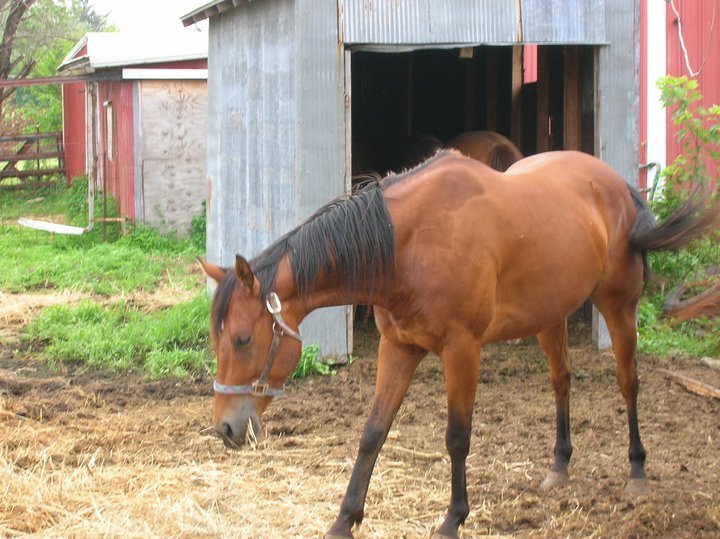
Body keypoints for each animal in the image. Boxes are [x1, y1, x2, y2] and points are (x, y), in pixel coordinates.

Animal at [199, 150, 718, 539]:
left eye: (243, 339)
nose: (226, 428)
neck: (405, 246)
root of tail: (615, 183)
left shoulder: (462, 349)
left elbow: (457, 437)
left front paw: (452, 519)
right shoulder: (397, 348)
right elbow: (372, 432)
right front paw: (344, 520)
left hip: (619, 307)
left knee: (629, 384)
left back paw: (637, 473)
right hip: (550, 317)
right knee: (562, 382)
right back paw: (559, 466)